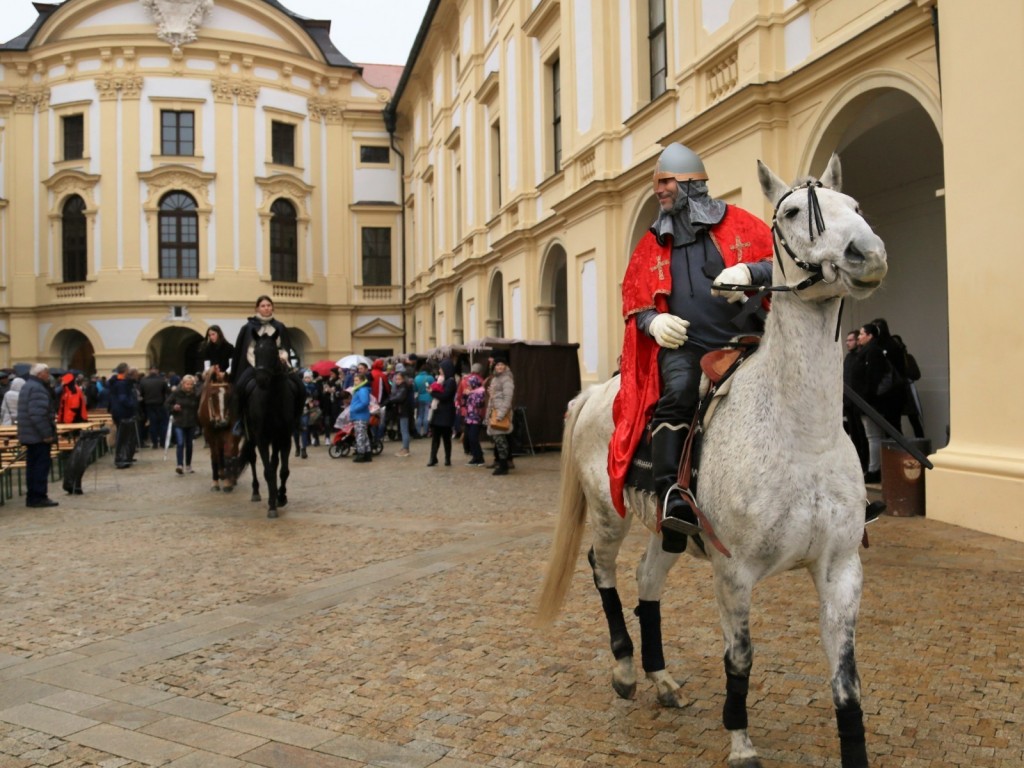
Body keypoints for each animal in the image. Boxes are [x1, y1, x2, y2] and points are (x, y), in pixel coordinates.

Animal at [238, 335, 301, 518]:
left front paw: (281, 497)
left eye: (274, 350)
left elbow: (283, 470)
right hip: (251, 436)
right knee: (252, 458)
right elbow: (267, 471)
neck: (273, 399)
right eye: (255, 352)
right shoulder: (262, 438)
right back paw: (256, 492)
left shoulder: (284, 437)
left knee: (275, 463)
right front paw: (272, 505)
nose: (261, 379)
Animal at [536, 157, 888, 768]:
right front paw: (740, 740)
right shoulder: (734, 573)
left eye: (855, 207)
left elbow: (847, 683)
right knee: (603, 570)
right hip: (610, 512)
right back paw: (625, 667)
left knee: (646, 579)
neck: (803, 435)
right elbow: (739, 658)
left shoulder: (841, 569)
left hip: (667, 530)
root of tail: (596, 393)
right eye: (791, 212)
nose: (866, 253)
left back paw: (660, 677)